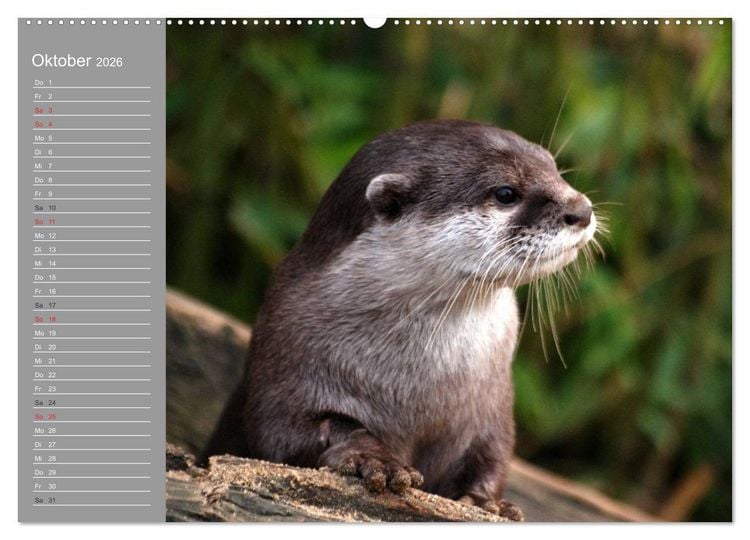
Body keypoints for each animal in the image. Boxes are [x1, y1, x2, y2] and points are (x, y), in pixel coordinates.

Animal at [202, 119, 597, 514]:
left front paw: (487, 501)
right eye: (505, 193)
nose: (582, 210)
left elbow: (492, 455)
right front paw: (373, 458)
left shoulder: (492, 407)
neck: (419, 388)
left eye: (553, 167)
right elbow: (285, 433)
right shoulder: (284, 358)